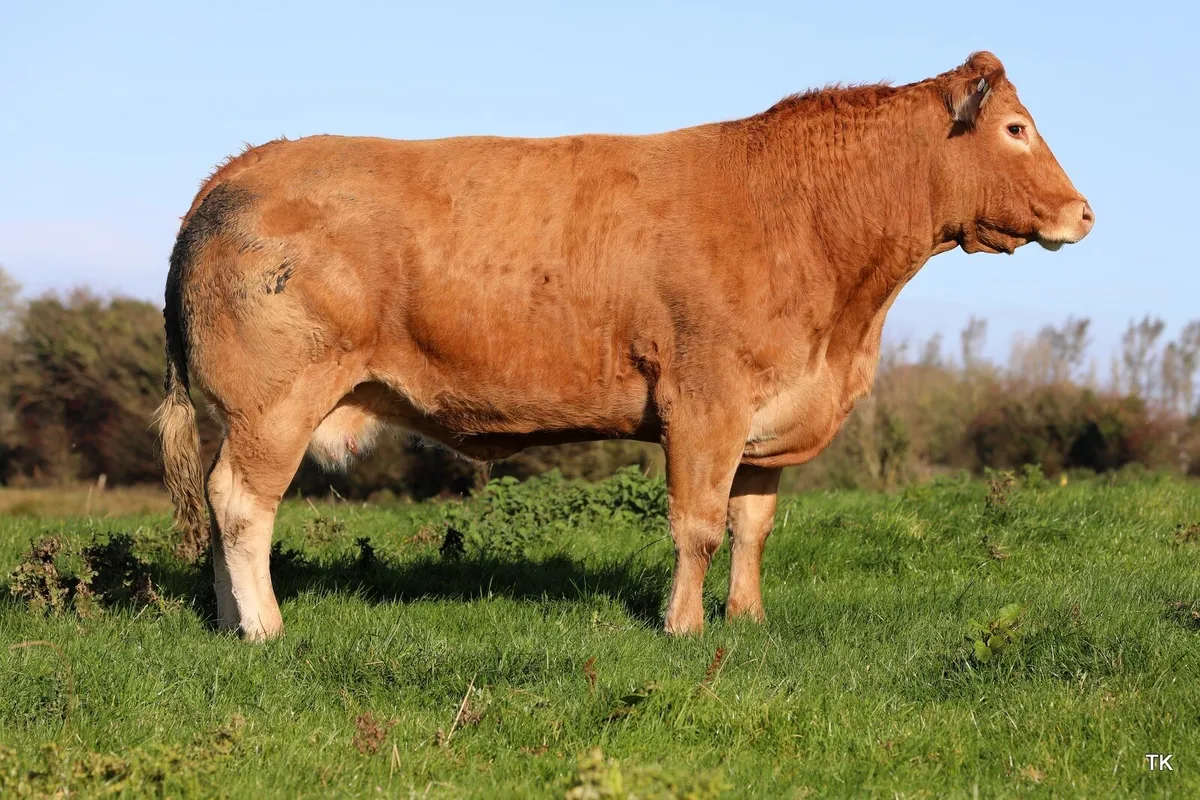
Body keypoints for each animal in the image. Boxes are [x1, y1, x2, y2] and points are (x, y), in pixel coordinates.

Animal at [155, 51, 1092, 641]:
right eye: (1016, 128)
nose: (1083, 212)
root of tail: (245, 163)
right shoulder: (704, 402)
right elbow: (698, 526)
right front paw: (684, 627)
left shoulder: (769, 417)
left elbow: (752, 528)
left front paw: (747, 620)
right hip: (273, 400)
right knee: (241, 504)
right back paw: (264, 628)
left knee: (217, 503)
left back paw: (226, 622)